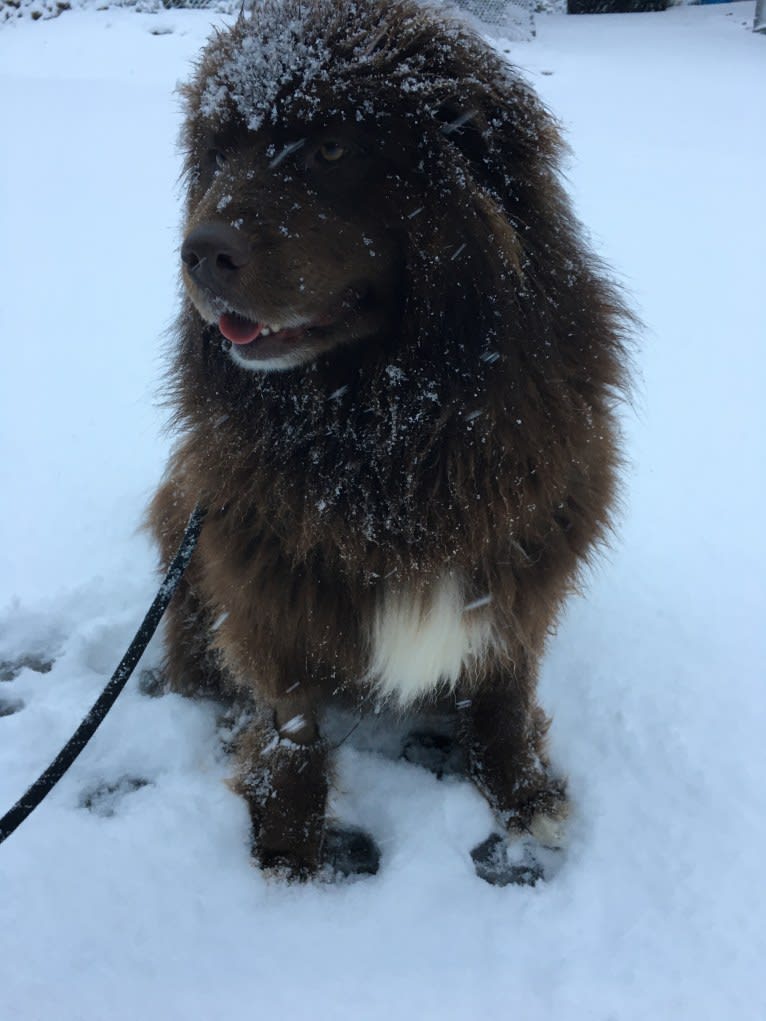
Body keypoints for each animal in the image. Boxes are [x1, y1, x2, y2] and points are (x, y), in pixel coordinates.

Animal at [148, 0, 629, 878]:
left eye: (334, 148)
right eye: (222, 153)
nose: (198, 254)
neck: (390, 430)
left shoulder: (523, 557)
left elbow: (505, 688)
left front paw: (524, 794)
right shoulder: (266, 579)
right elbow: (291, 723)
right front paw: (287, 839)